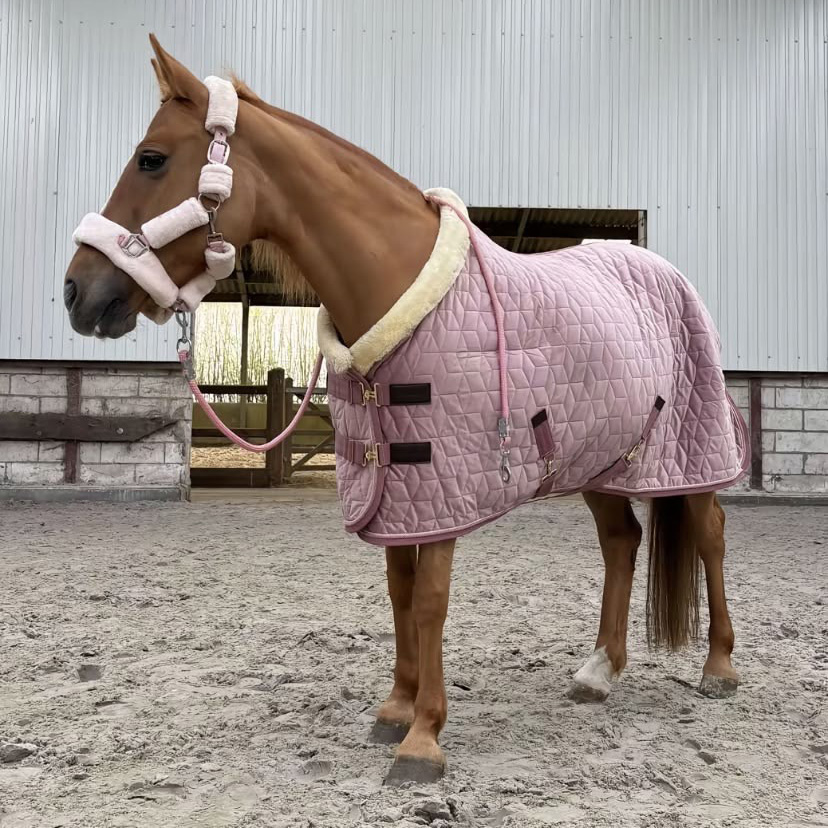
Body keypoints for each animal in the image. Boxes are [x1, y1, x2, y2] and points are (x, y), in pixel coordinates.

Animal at [64, 36, 745, 785]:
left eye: (151, 159)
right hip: (599, 454)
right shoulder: (397, 489)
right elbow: (398, 591)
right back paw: (599, 671)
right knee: (621, 541)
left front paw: (424, 738)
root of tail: (665, 273)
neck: (396, 286)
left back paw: (718, 668)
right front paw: (395, 707)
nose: (76, 292)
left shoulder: (442, 483)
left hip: (690, 453)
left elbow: (429, 600)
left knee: (709, 532)